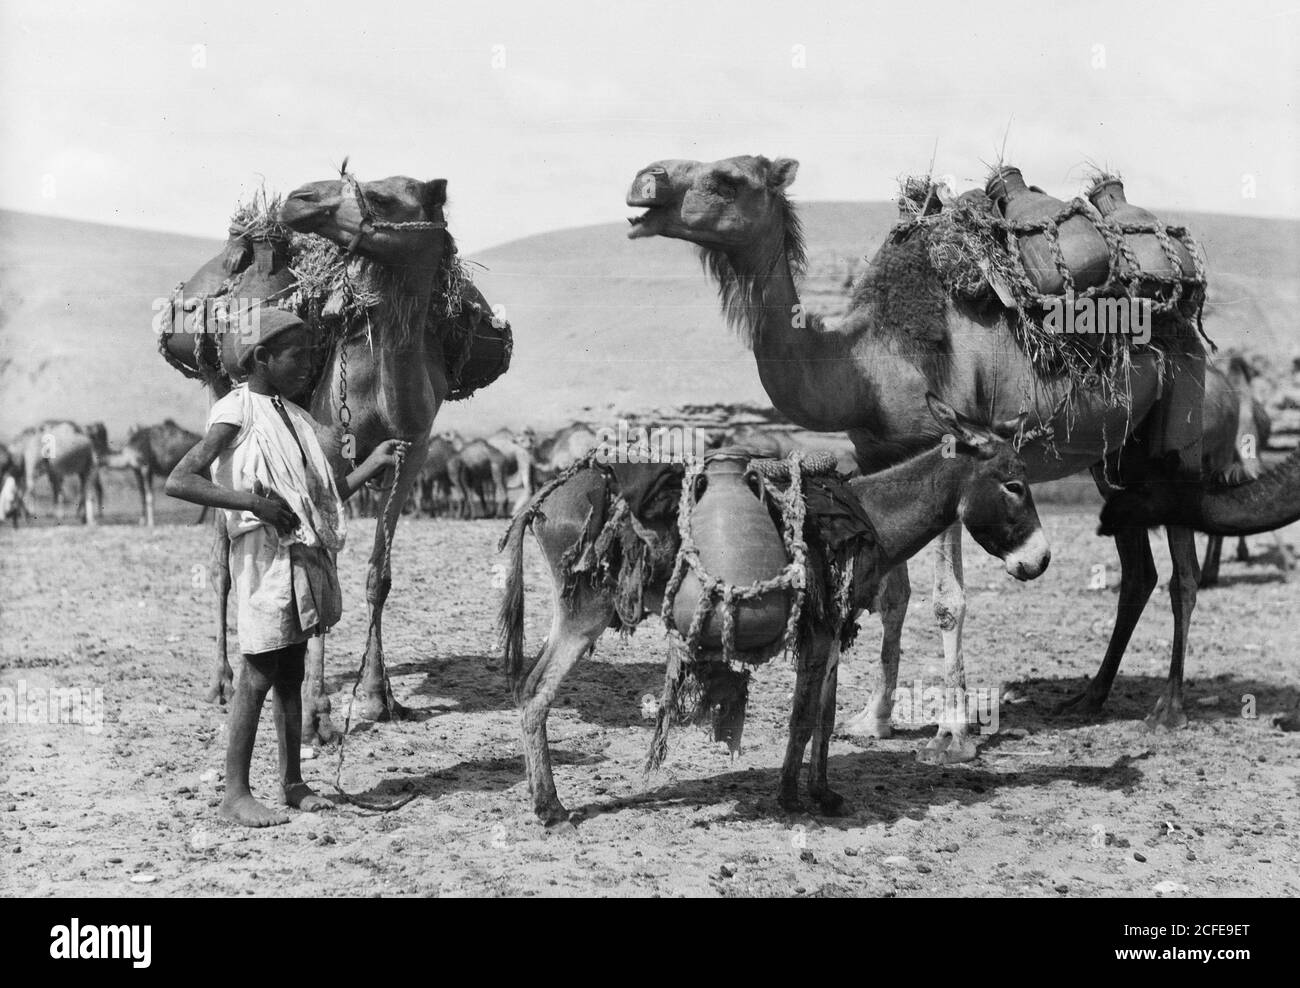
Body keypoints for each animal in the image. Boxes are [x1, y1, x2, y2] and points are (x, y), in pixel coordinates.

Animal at [621, 152, 1300, 738]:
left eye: (728, 178)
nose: (642, 184)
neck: (865, 362)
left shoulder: (951, 446)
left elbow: (948, 601)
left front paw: (951, 728)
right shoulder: (879, 456)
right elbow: (893, 594)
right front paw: (874, 718)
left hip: (1177, 437)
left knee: (1183, 575)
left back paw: (1168, 708)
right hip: (1118, 461)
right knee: (1139, 573)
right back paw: (1090, 696)